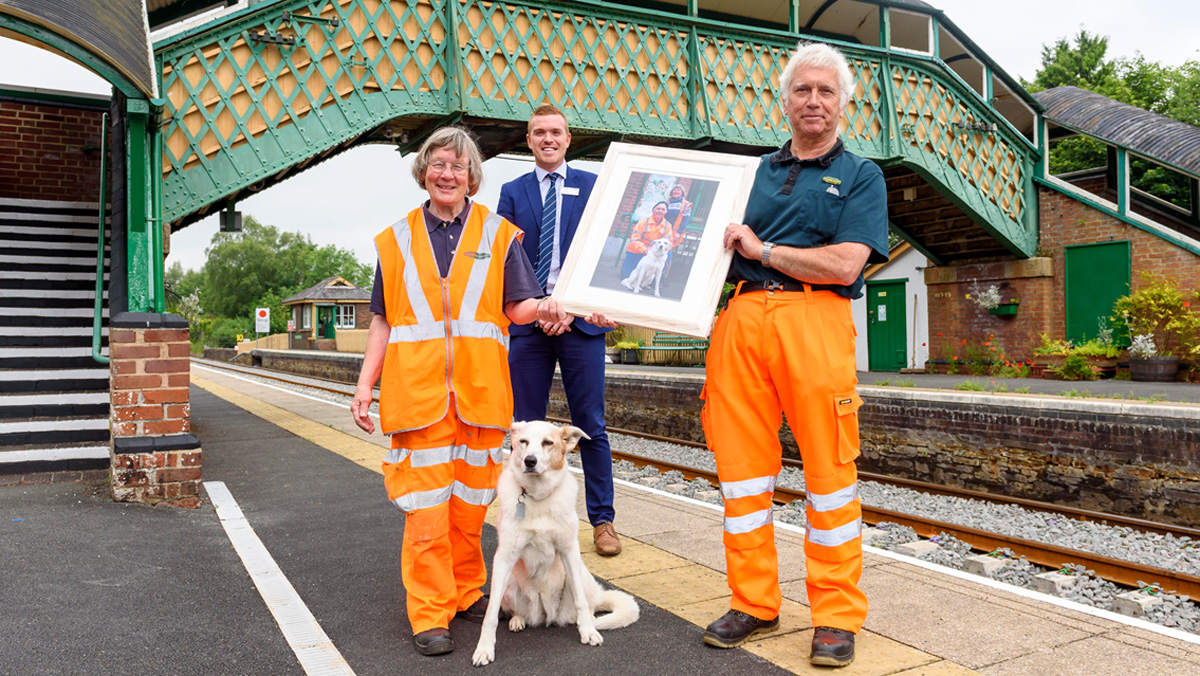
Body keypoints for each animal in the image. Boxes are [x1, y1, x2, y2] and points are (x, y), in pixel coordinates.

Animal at [468, 420, 638, 667]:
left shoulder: (569, 551)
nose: (530, 461)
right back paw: (518, 620)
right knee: (515, 610)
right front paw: (484, 649)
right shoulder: (505, 557)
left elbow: (581, 602)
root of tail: (546, 615)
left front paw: (588, 632)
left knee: (587, 605)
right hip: (510, 585)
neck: (537, 497)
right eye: (523, 441)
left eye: (547, 442)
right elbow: (490, 614)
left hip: (579, 577)